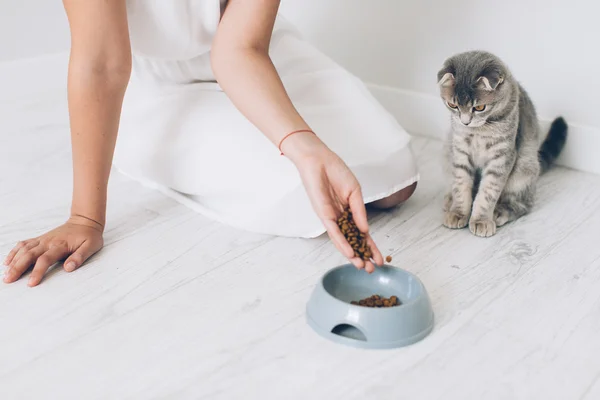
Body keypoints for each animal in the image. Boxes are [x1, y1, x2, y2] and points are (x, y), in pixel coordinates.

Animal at [436, 50, 568, 238]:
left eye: (480, 107)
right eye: (452, 105)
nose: (465, 122)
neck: (479, 131)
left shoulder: (502, 156)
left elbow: (488, 192)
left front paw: (481, 220)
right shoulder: (460, 151)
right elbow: (460, 185)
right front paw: (458, 212)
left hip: (524, 168)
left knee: (524, 204)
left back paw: (500, 212)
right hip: (447, 152)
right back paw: (449, 200)